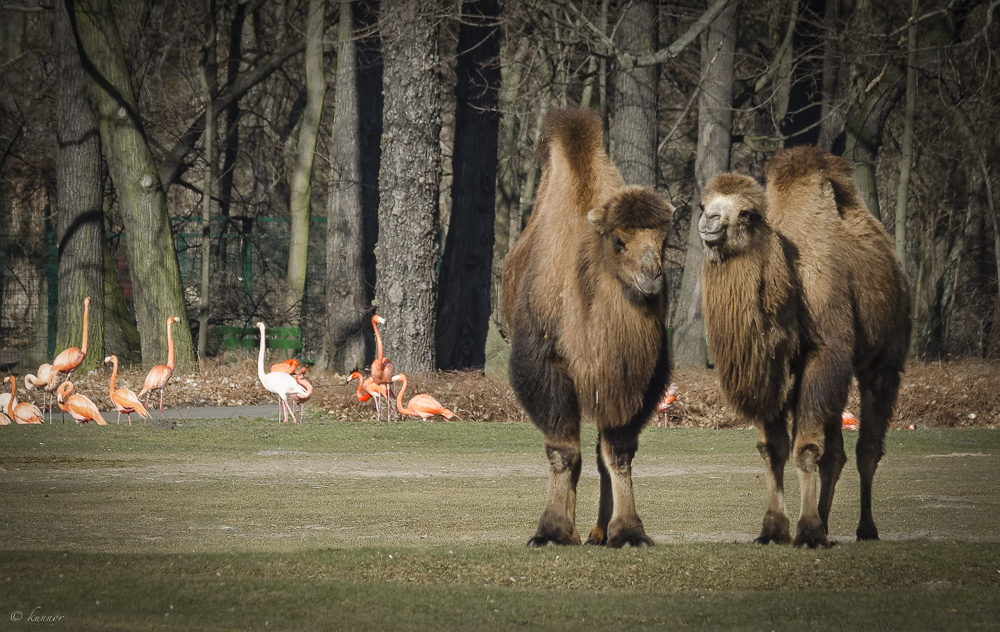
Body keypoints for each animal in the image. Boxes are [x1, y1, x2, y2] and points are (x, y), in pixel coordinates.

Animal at [504, 106, 676, 544]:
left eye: (664, 241)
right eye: (618, 241)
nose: (652, 275)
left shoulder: (636, 378)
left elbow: (617, 451)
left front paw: (627, 530)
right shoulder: (545, 365)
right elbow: (563, 450)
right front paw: (552, 530)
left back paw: (597, 531)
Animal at [700, 147, 912, 548]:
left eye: (747, 213)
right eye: (703, 204)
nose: (709, 221)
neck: (791, 283)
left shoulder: (824, 353)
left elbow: (806, 448)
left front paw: (808, 531)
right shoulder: (773, 368)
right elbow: (774, 450)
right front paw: (774, 529)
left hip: (883, 359)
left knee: (867, 447)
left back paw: (865, 529)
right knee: (837, 453)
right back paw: (827, 523)